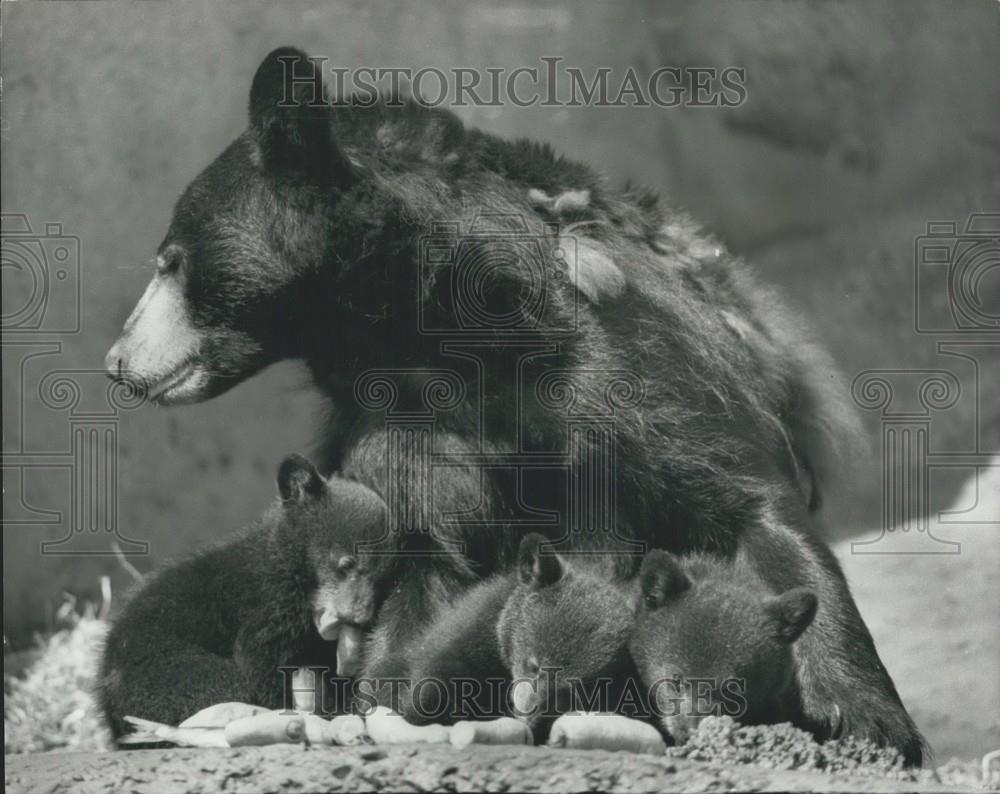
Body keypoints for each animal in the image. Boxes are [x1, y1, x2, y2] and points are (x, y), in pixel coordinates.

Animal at [97, 454, 384, 740]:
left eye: (384, 574)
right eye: (346, 564)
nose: (361, 616)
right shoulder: (270, 601)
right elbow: (259, 657)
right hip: (168, 673)